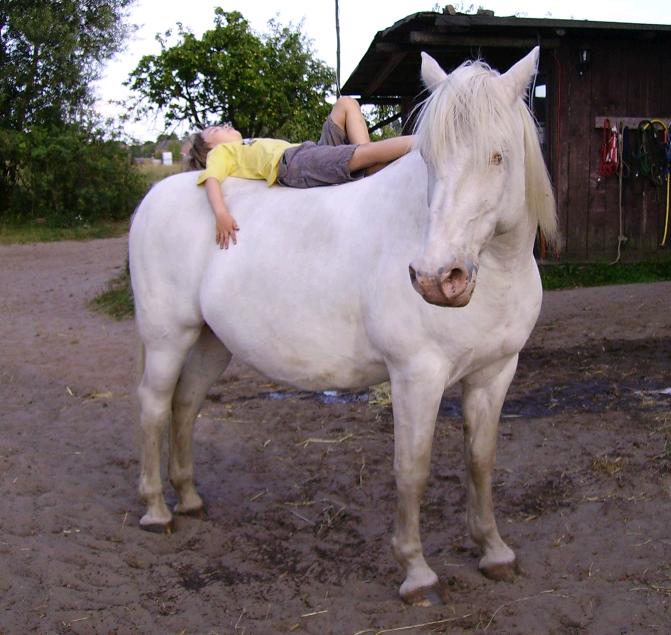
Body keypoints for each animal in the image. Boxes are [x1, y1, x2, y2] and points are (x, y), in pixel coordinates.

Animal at [130, 47, 556, 604]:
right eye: (429, 159)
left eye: (498, 156)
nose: (437, 279)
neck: (497, 271)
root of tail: (156, 197)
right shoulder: (416, 376)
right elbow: (412, 470)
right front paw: (416, 573)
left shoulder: (496, 372)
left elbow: (480, 461)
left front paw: (494, 551)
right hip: (167, 338)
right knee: (155, 408)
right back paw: (157, 512)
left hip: (209, 343)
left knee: (185, 405)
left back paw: (190, 500)